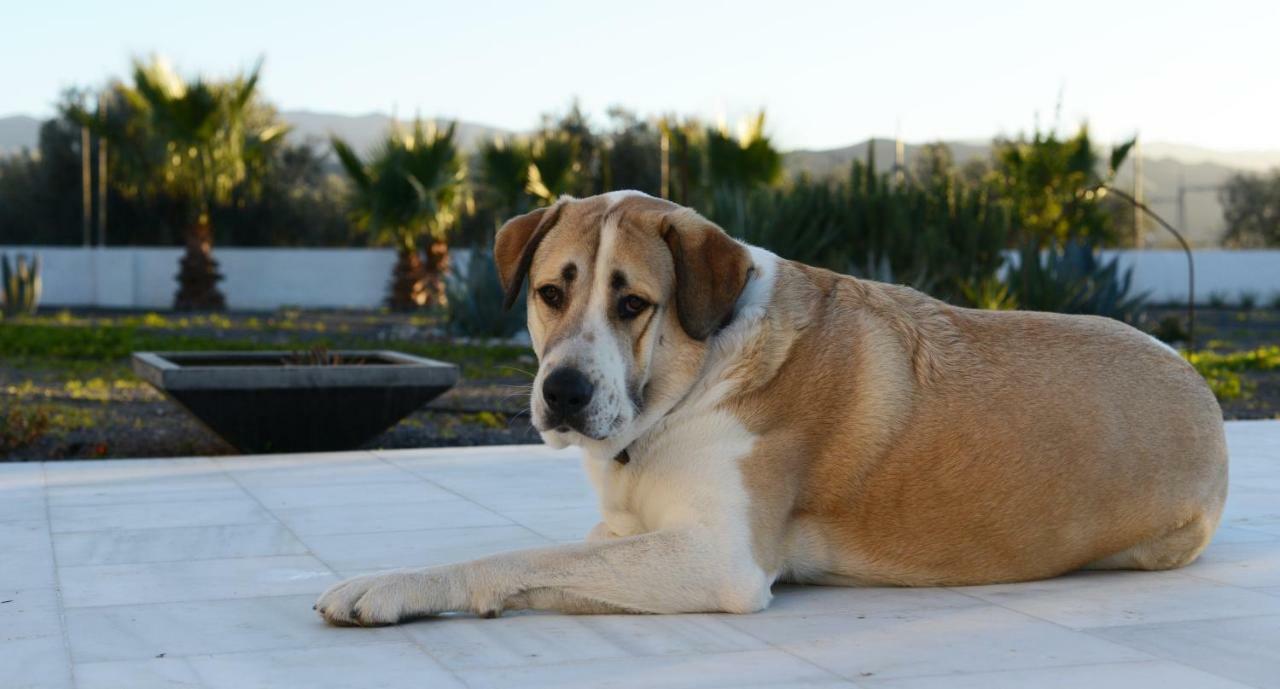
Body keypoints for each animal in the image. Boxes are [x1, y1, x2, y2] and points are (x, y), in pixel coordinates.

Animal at [314, 190, 1223, 624]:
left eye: (633, 303)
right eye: (549, 293)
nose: (563, 392)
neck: (690, 377)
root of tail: (1202, 383)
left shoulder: (718, 558)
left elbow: (517, 558)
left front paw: (391, 588)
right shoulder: (629, 534)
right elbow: (543, 555)